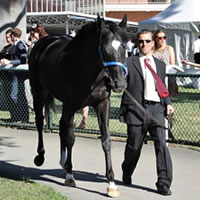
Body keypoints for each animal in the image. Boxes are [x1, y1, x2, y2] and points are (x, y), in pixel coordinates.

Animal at [28, 15, 130, 197]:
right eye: (104, 48)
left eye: (125, 48)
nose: (119, 83)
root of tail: (44, 42)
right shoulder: (70, 105)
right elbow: (70, 138)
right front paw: (70, 176)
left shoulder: (102, 104)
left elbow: (106, 140)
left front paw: (111, 184)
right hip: (39, 92)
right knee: (40, 122)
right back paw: (41, 157)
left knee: (61, 125)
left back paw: (63, 163)